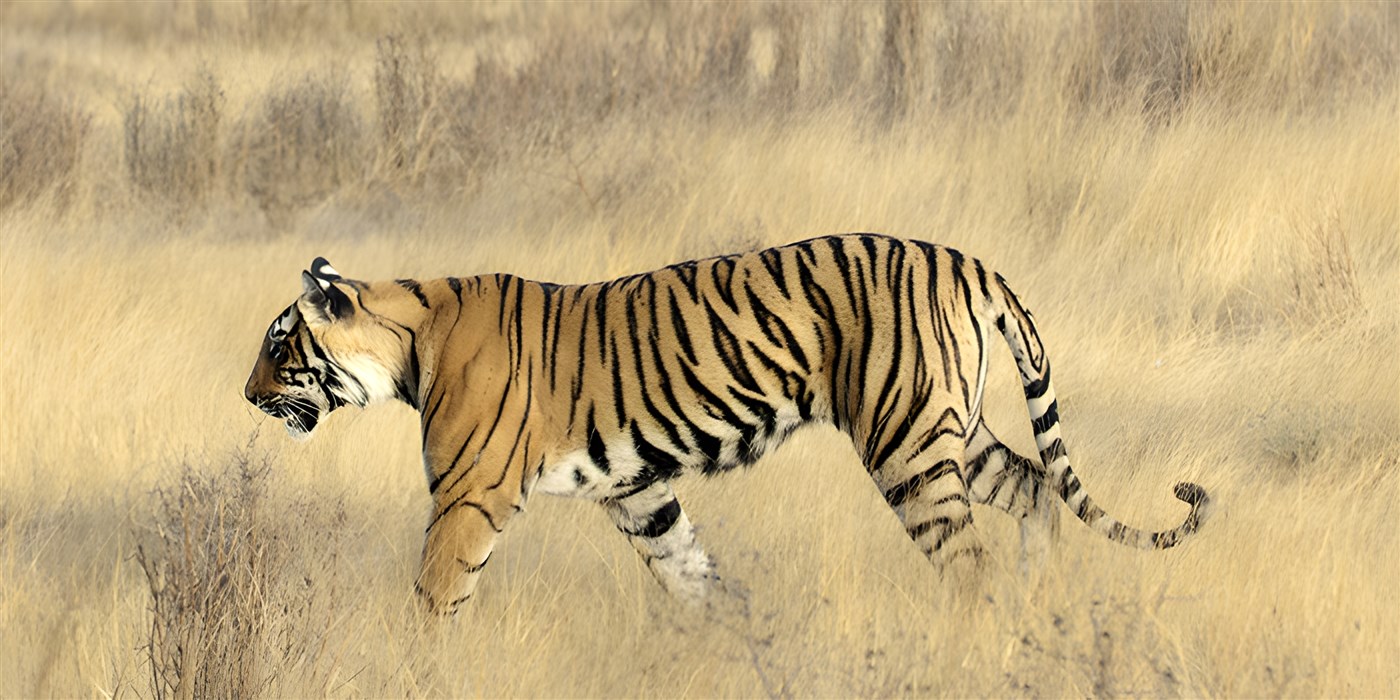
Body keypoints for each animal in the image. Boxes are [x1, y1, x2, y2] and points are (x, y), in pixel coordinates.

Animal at [244, 234, 1208, 615]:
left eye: (278, 343)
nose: (248, 397)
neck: (409, 338)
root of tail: (972, 261)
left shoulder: (467, 497)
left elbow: (436, 596)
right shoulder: (639, 493)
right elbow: (695, 576)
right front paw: (736, 642)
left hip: (908, 445)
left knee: (969, 566)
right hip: (955, 435)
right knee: (1039, 487)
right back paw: (1040, 603)